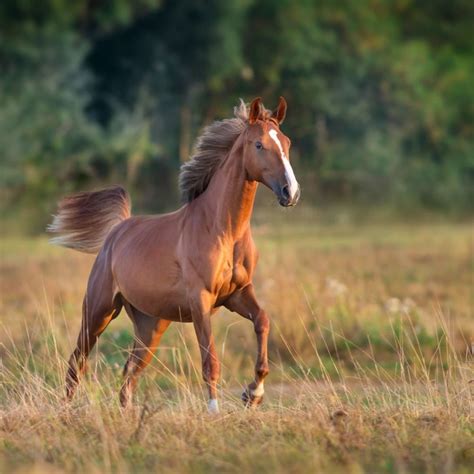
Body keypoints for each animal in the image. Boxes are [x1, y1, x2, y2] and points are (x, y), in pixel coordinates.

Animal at [48, 96, 300, 412]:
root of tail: (117, 231)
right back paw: (65, 410)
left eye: (287, 142)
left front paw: (253, 394)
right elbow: (210, 361)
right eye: (258, 144)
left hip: (150, 325)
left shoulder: (238, 293)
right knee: (77, 361)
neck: (222, 229)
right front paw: (215, 412)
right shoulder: (201, 301)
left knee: (129, 374)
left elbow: (263, 321)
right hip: (99, 310)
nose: (291, 192)